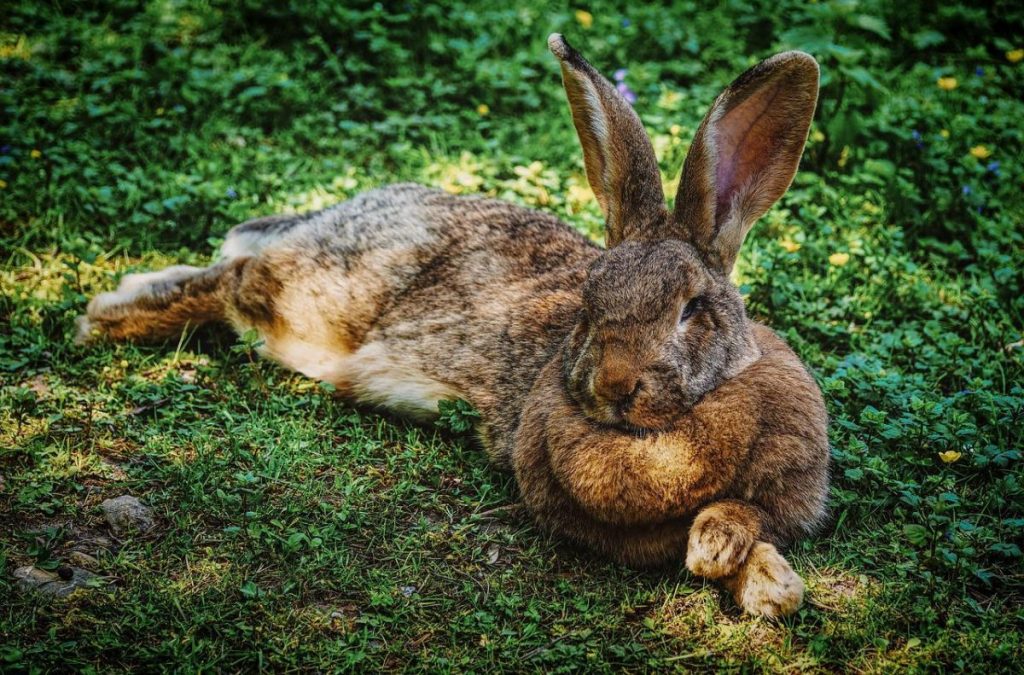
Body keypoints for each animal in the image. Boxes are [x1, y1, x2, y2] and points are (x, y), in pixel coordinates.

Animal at [79, 35, 831, 618]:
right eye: (589, 304)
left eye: (691, 309)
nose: (615, 386)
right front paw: (745, 568)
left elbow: (751, 525)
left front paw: (759, 576)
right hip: (316, 297)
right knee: (231, 281)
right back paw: (107, 317)